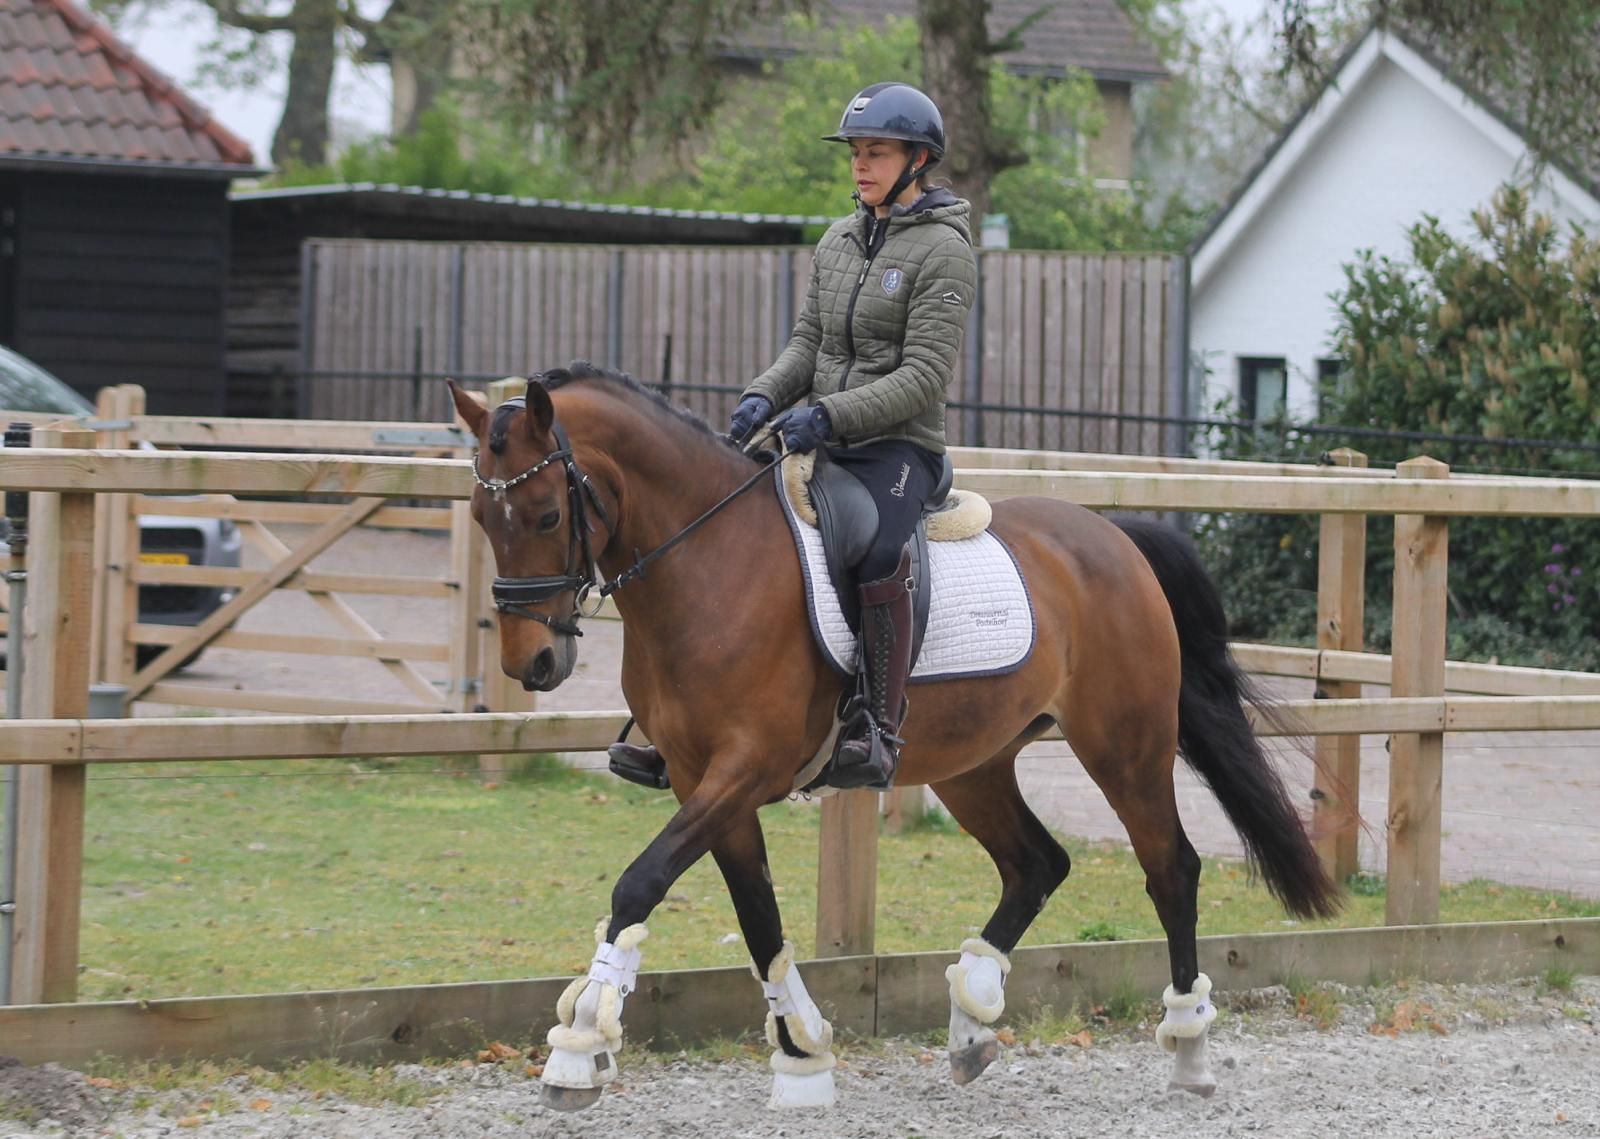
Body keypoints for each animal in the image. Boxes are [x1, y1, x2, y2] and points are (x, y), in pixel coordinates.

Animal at [447, 363, 1339, 1113]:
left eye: (548, 513)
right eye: (482, 515)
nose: (533, 662)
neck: (710, 563)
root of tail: (1114, 537)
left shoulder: (744, 770)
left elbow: (638, 886)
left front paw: (579, 1047)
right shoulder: (709, 782)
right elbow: (759, 918)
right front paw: (802, 1056)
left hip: (1126, 745)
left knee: (1171, 870)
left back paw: (1188, 1052)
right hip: (974, 764)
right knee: (1037, 863)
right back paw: (974, 1018)